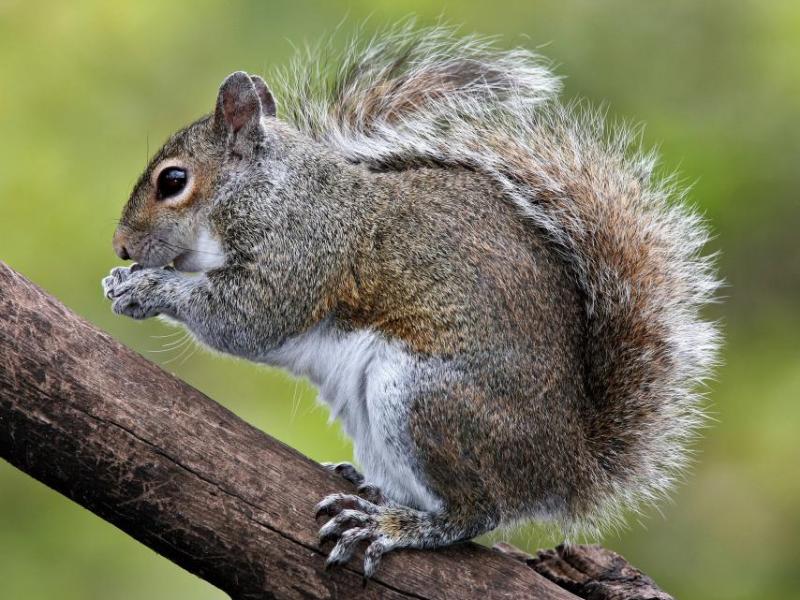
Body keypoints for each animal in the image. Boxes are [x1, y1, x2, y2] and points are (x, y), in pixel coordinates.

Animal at [102, 24, 720, 577]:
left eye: (172, 181)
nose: (122, 246)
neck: (267, 190)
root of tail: (570, 468)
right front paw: (121, 280)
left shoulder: (301, 251)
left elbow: (248, 316)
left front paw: (146, 288)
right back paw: (369, 485)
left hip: (423, 400)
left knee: (476, 512)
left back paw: (394, 525)